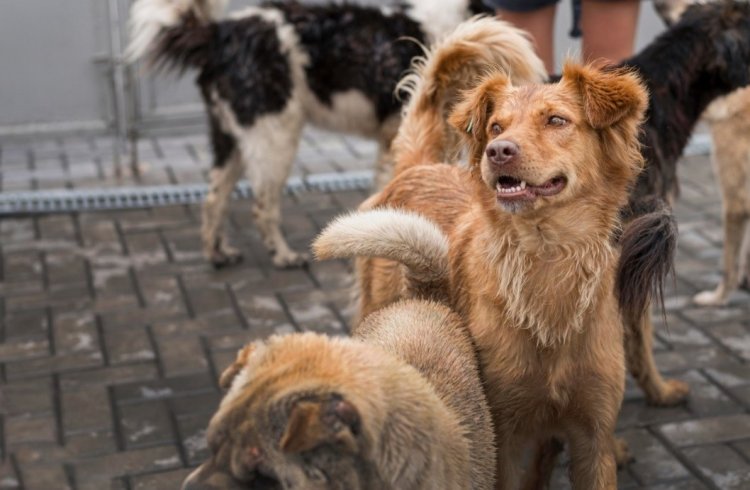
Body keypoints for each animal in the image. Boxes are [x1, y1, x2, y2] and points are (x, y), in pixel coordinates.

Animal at [126, 0, 544, 268]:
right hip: (274, 135)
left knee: (214, 198)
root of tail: (219, 33)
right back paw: (283, 256)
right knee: (262, 205)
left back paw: (218, 254)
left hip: (231, 137)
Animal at [314, 62, 648, 490]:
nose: (499, 151)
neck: (546, 259)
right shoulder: (500, 437)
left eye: (557, 120)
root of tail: (418, 166)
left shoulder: (593, 438)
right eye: (495, 127)